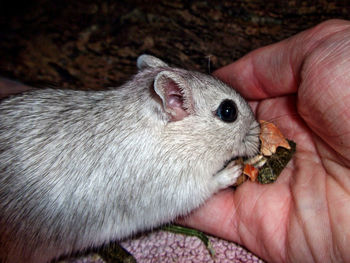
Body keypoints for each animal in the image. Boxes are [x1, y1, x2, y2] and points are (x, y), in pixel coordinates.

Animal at [0, 54, 260, 262]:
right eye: (228, 111)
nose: (259, 133)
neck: (178, 140)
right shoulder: (176, 189)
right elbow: (209, 184)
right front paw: (233, 171)